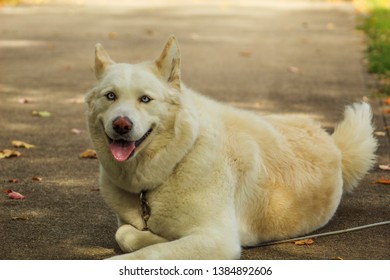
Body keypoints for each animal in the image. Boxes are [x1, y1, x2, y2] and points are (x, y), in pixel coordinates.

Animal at [85, 36, 378, 260]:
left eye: (145, 99)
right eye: (110, 96)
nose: (121, 124)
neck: (179, 158)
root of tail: (333, 144)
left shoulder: (219, 241)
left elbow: (148, 253)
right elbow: (124, 234)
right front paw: (157, 236)